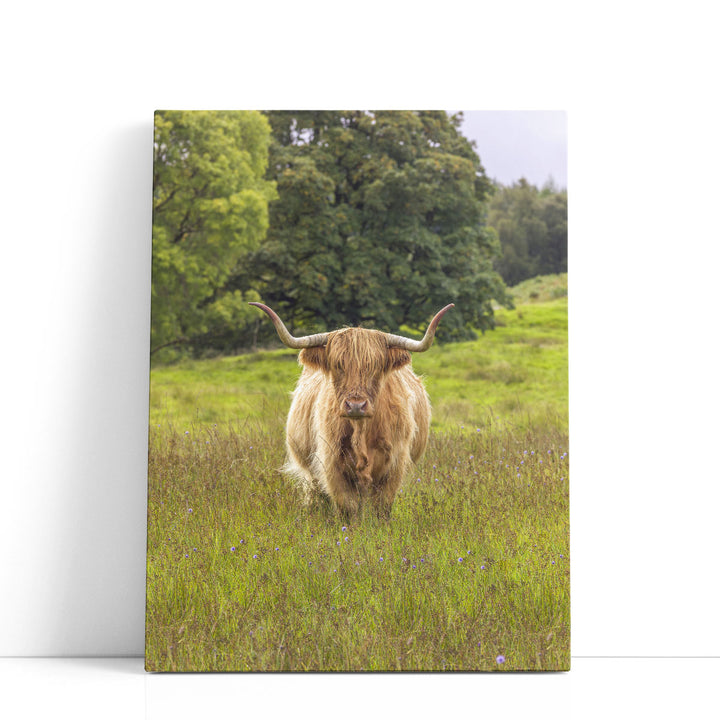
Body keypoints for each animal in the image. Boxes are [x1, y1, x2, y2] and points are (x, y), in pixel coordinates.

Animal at [249, 302, 454, 517]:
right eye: (338, 366)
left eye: (375, 367)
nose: (356, 405)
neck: (361, 433)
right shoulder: (332, 465)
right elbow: (347, 507)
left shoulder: (394, 465)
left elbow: (382, 507)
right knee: (316, 495)